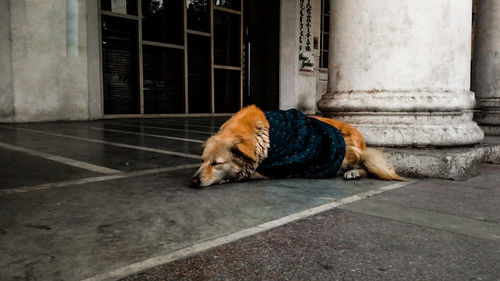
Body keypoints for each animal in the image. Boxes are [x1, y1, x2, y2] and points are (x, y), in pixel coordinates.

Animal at [189, 104, 404, 187]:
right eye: (202, 161)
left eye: (217, 164)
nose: (193, 181)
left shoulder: (277, 165)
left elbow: (251, 172)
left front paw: (230, 177)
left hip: (347, 153)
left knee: (365, 163)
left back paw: (354, 173)